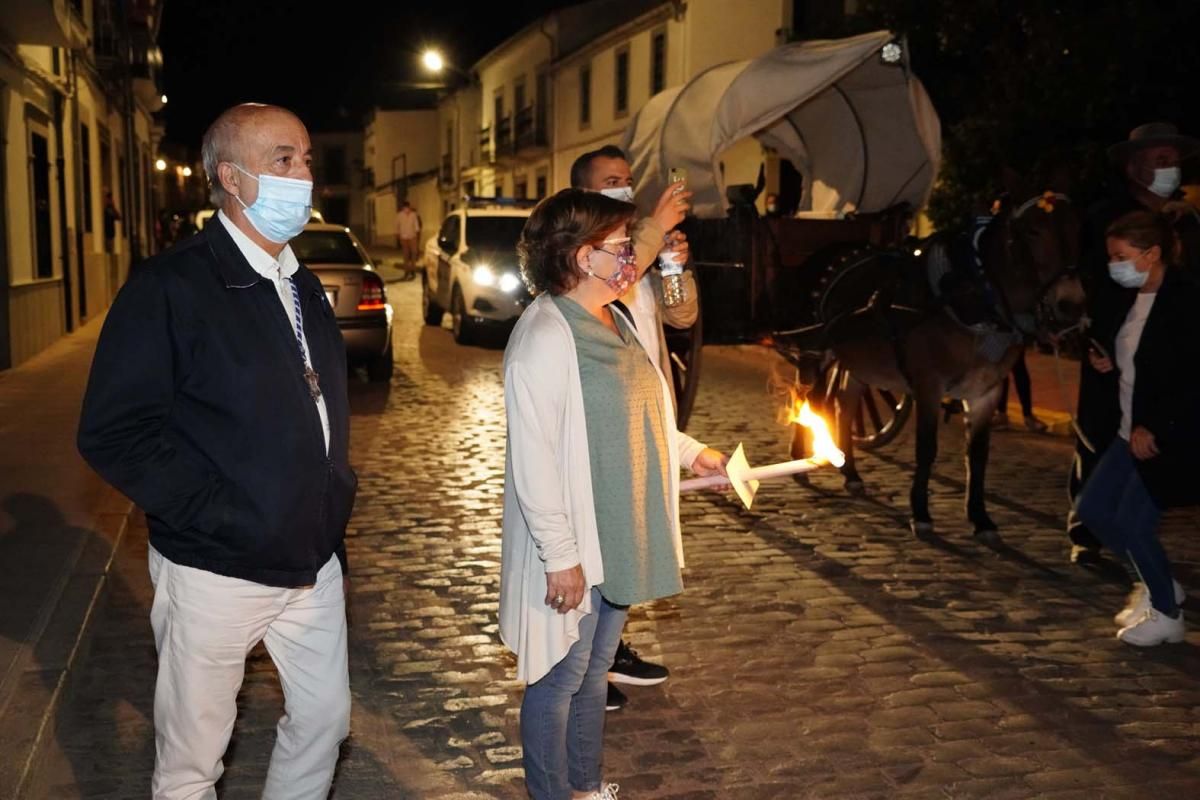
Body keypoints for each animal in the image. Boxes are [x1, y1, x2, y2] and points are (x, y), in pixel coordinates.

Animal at [777, 183, 1089, 542]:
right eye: (1033, 231)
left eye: (1079, 230)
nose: (1071, 305)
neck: (970, 298)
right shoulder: (928, 385)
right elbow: (926, 448)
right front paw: (921, 513)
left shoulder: (987, 391)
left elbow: (978, 455)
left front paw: (980, 518)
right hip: (818, 351)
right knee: (809, 398)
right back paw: (799, 458)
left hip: (854, 360)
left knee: (844, 404)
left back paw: (851, 473)